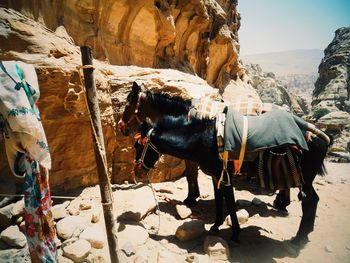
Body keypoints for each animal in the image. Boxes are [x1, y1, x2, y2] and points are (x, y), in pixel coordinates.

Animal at [133, 114, 330, 248]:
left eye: (138, 146)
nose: (137, 171)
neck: (202, 139)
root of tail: (321, 136)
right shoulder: (215, 176)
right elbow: (219, 200)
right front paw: (215, 226)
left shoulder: (226, 177)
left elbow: (230, 203)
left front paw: (235, 235)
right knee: (313, 200)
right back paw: (305, 233)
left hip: (305, 179)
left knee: (310, 201)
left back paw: (299, 238)